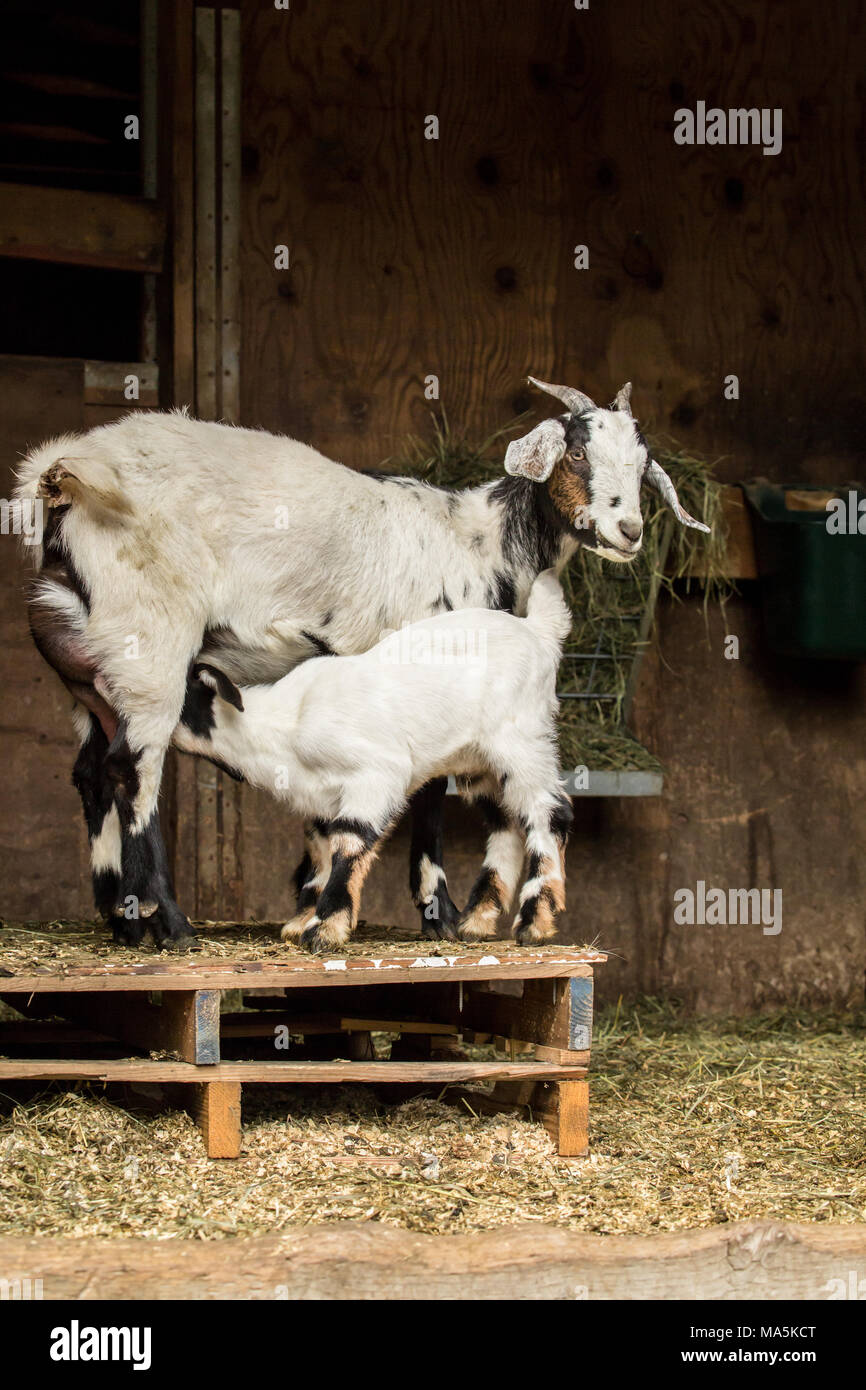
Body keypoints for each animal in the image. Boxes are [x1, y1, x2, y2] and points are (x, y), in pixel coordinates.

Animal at [170, 569, 575, 950]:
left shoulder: (376, 774)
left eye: (182, 698)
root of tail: (537, 630)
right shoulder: (320, 801)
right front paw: (302, 920)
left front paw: (325, 929)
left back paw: (533, 923)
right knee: (507, 823)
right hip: (480, 765)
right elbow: (321, 851)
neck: (286, 722)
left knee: (549, 813)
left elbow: (351, 839)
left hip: (520, 742)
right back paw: (477, 919)